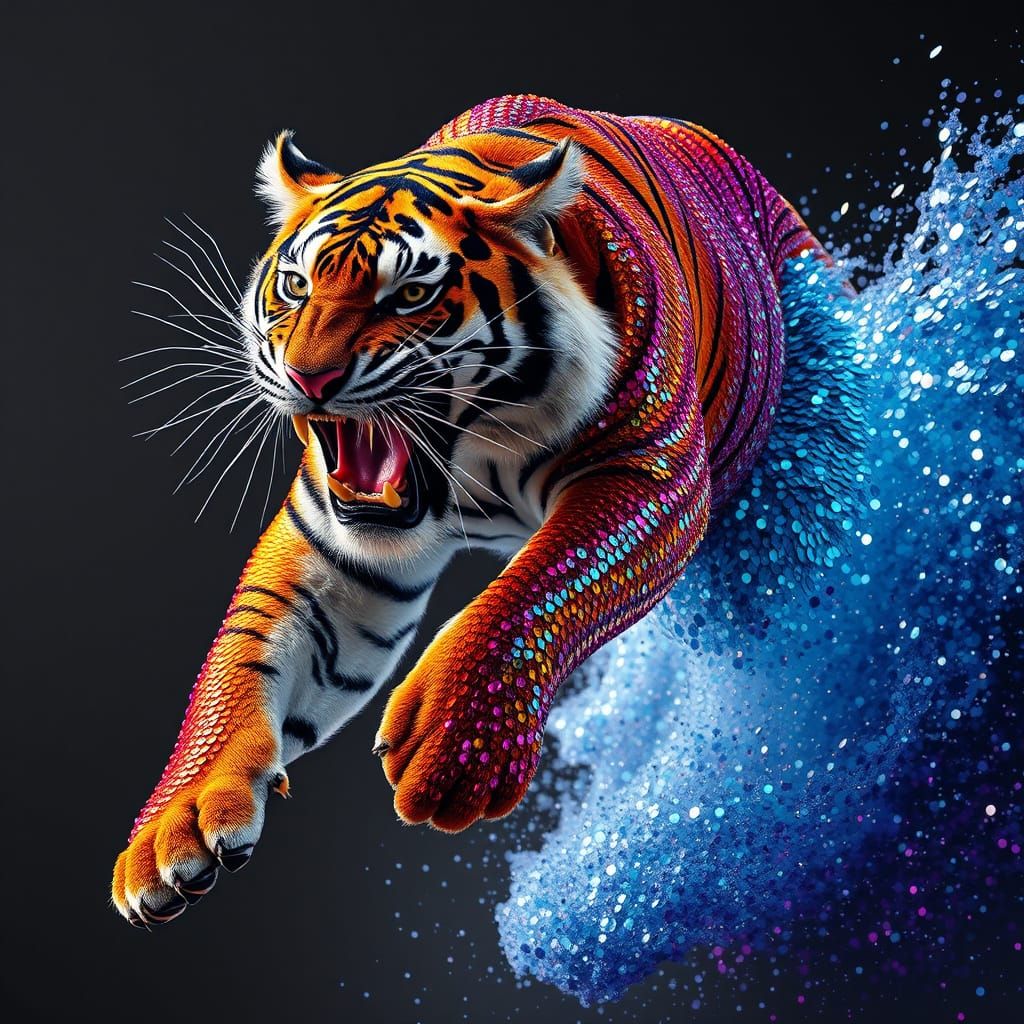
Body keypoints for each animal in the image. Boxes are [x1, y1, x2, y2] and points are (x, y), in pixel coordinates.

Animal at [112, 93, 838, 926]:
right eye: (295, 287)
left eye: (409, 295)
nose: (308, 376)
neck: (481, 453)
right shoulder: (333, 544)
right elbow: (243, 656)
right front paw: (175, 825)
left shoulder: (650, 472)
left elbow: (543, 582)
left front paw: (455, 743)